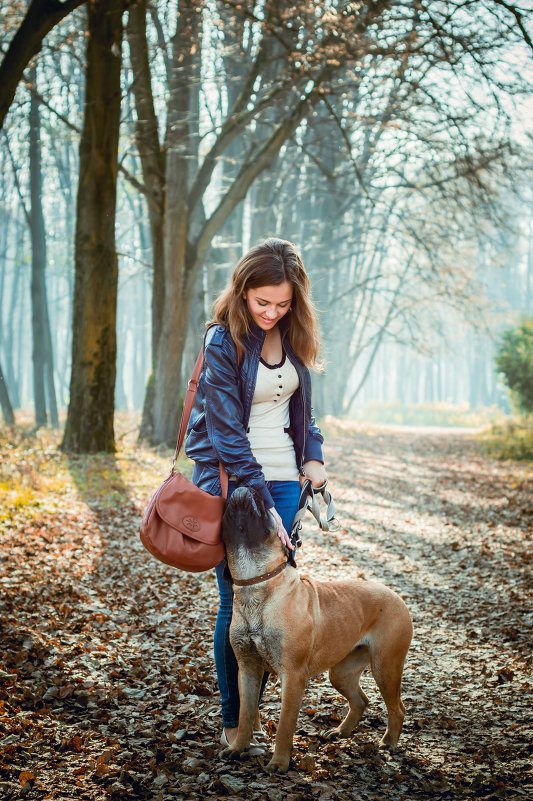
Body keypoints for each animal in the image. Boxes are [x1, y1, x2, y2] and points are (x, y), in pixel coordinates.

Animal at [218, 484, 414, 772]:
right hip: (342, 671)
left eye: (266, 508)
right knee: (360, 700)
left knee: (397, 708)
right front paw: (238, 748)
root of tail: (396, 596)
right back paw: (341, 732)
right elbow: (245, 715)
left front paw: (279, 762)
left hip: (385, 667)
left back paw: (388, 742)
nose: (250, 485)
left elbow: (285, 724)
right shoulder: (248, 668)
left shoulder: (293, 676)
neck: (256, 583)